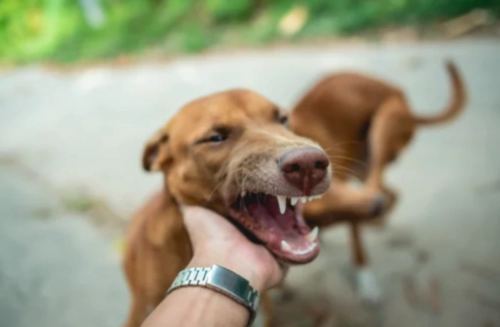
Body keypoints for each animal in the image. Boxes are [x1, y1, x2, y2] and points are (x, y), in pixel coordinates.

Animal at [290, 61, 464, 302]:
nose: (373, 207)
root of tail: (402, 97)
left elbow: (357, 245)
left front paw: (366, 282)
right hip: (363, 167)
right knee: (391, 192)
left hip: (383, 126)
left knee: (381, 186)